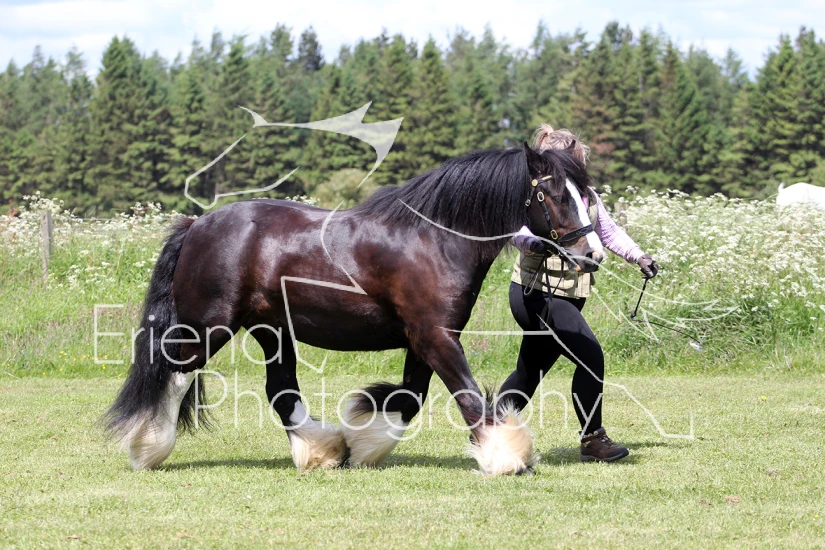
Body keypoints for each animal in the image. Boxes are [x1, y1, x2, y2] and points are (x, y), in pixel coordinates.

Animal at [105, 142, 605, 476]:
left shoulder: (422, 339)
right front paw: (508, 457)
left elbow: (409, 398)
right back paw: (147, 449)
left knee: (280, 390)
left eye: (584, 193)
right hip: (209, 326)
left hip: (272, 329)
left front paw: (364, 449)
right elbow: (466, 396)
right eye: (556, 195)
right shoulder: (436, 337)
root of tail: (197, 225)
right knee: (173, 375)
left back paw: (322, 450)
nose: (593, 255)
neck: (435, 240)